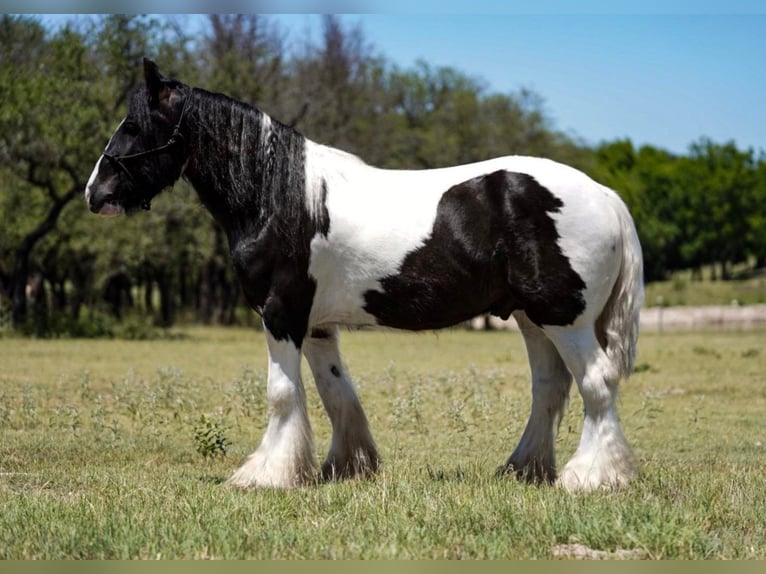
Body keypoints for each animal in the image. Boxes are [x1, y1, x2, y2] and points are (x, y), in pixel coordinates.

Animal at [85, 62, 648, 496]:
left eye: (133, 125)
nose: (95, 192)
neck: (280, 196)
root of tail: (605, 195)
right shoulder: (315, 325)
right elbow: (336, 393)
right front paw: (346, 466)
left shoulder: (280, 314)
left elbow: (282, 394)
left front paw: (265, 475)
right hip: (535, 320)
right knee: (550, 388)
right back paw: (523, 470)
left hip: (565, 319)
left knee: (596, 383)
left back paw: (591, 477)